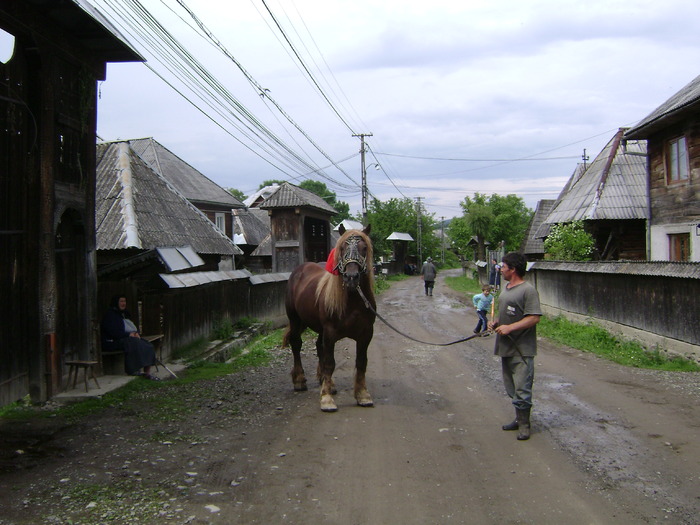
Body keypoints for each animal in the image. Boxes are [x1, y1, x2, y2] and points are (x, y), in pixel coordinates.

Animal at [282, 223, 374, 412]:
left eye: (364, 248)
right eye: (342, 248)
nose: (351, 277)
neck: (353, 300)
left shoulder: (366, 334)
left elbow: (361, 362)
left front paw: (362, 395)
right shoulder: (330, 333)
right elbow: (329, 363)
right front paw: (326, 399)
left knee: (319, 347)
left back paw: (326, 382)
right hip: (295, 320)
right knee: (296, 344)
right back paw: (299, 380)